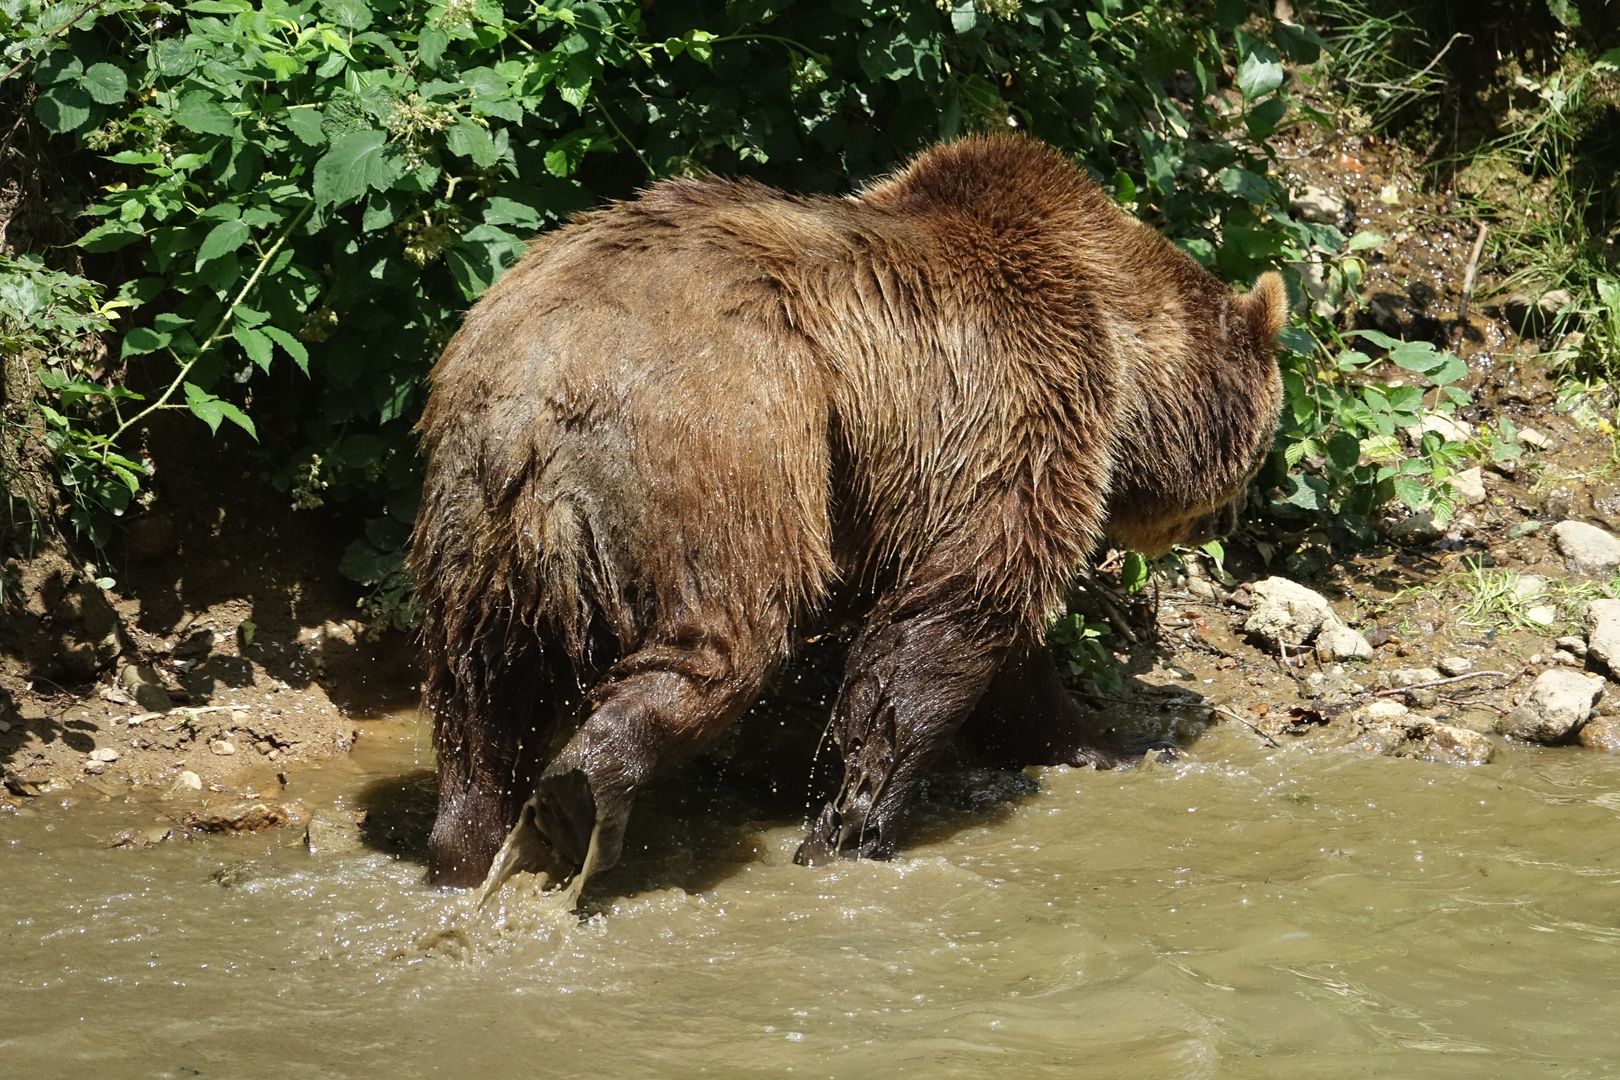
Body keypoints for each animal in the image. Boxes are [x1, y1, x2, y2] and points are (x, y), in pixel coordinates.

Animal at [411, 137, 1283, 906]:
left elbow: (994, 639)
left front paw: (1108, 746)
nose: (1232, 519)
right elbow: (959, 611)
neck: (1121, 345)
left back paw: (470, 842)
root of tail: (539, 387)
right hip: (728, 443)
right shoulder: (1014, 404)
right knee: (725, 639)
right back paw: (585, 790)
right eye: (1265, 444)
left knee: (481, 691)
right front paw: (856, 822)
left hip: (475, 511)